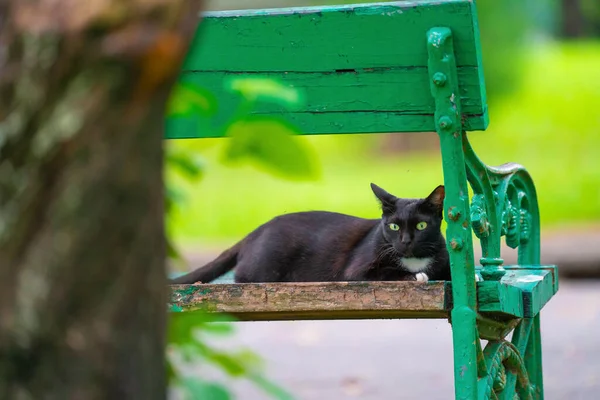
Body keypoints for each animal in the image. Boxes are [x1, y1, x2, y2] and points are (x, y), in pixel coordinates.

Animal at [169, 183, 450, 282]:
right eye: (393, 227)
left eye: (421, 226)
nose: (405, 241)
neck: (414, 260)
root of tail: (257, 229)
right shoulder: (355, 272)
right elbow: (389, 273)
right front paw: (416, 277)